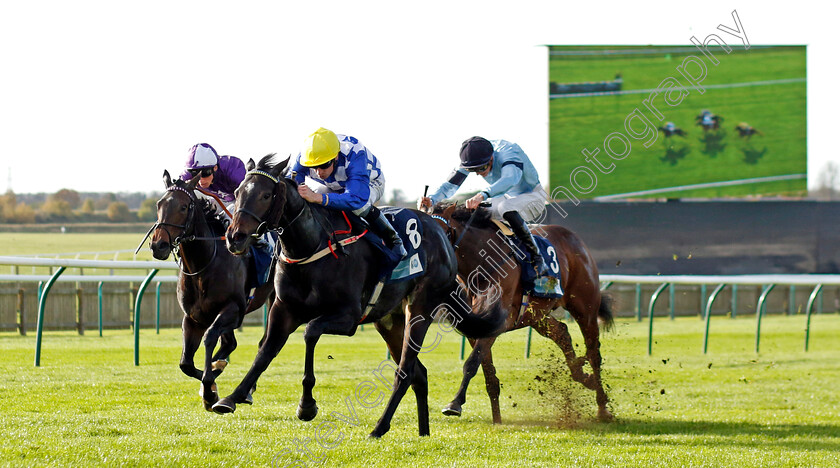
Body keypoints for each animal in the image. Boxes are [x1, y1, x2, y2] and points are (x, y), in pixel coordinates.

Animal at [148, 172, 272, 410]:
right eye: (159, 204)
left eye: (184, 206)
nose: (158, 245)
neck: (204, 264)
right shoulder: (192, 317)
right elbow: (185, 363)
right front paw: (212, 381)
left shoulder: (233, 309)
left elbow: (209, 337)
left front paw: (209, 389)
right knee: (230, 343)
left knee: (262, 342)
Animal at [217, 155, 506, 436]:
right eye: (238, 191)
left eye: (266, 195)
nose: (235, 237)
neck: (311, 247)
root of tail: (443, 237)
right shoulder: (283, 309)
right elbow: (265, 351)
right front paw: (232, 397)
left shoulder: (348, 317)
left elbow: (310, 332)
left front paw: (307, 405)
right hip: (389, 320)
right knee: (419, 373)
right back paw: (423, 432)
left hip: (420, 310)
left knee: (405, 371)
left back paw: (379, 428)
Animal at [430, 203, 612, 422]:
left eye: (444, 232)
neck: (481, 268)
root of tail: (576, 240)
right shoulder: (476, 328)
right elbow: (488, 373)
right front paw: (497, 420)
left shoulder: (497, 323)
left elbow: (472, 363)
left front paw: (455, 404)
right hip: (536, 315)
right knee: (562, 332)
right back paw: (583, 375)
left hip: (585, 308)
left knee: (594, 353)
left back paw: (602, 407)